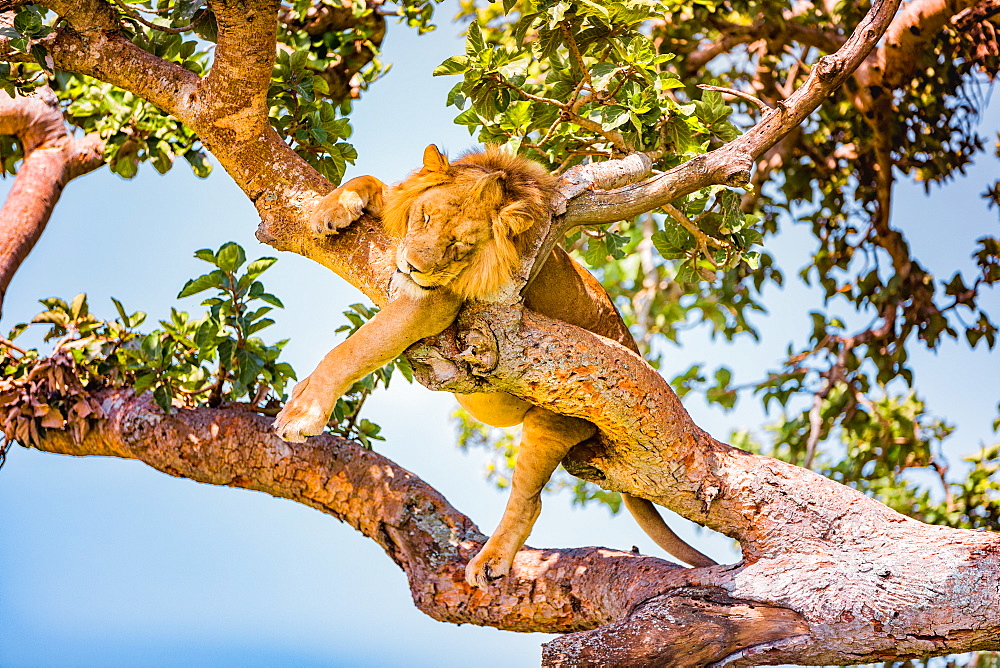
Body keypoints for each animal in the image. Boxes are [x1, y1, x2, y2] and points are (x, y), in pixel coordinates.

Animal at [270, 145, 716, 584]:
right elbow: (372, 181)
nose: (412, 266)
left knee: (528, 501)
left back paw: (491, 562)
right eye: (426, 216)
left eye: (460, 245)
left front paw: (302, 417)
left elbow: (351, 351)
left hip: (552, 424)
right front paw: (330, 209)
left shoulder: (433, 302)